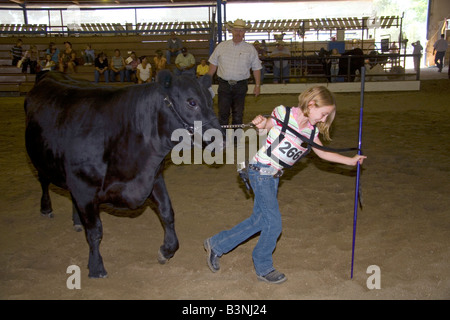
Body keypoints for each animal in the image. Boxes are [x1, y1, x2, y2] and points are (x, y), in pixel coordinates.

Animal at [24, 70, 221, 278]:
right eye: (191, 102)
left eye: (210, 99)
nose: (221, 137)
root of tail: (49, 72)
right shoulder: (83, 187)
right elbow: (95, 231)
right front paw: (96, 267)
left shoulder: (153, 177)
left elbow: (167, 211)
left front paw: (166, 250)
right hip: (41, 160)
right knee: (43, 181)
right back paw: (46, 209)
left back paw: (77, 220)